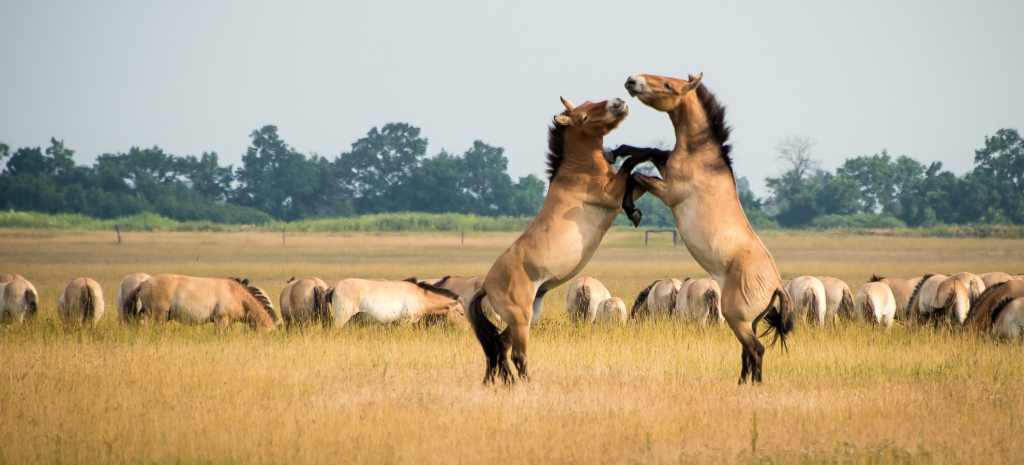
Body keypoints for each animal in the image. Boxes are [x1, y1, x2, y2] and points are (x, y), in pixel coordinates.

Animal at [328, 278, 465, 328]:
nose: (467, 329)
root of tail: (334, 287)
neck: (420, 296)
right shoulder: (405, 322)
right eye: (462, 314)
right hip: (342, 317)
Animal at [467, 96, 647, 385]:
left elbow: (636, 177)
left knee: (500, 346)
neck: (579, 170)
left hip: (530, 315)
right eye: (584, 116)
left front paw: (634, 210)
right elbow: (631, 168)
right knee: (517, 354)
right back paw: (528, 385)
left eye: (592, 101)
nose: (619, 102)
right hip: (521, 319)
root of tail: (486, 285)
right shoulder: (610, 194)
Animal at [615, 73, 793, 384]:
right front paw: (619, 151)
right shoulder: (665, 167)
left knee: (756, 349)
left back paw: (754, 385)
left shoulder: (668, 192)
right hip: (750, 321)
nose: (632, 80)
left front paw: (632, 211)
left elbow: (635, 175)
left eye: (668, 85)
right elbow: (650, 152)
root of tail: (776, 285)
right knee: (748, 351)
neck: (702, 157)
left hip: (737, 318)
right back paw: (741, 383)